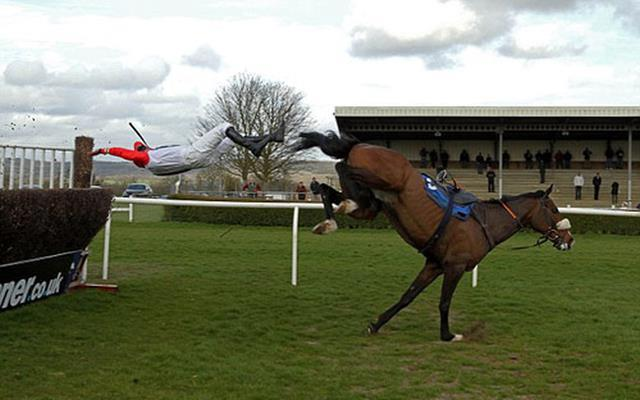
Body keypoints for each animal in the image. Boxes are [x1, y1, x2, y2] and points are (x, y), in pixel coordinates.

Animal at [296, 131, 576, 340]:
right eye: (553, 209)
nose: (570, 239)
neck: (484, 223)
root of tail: (360, 144)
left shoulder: (434, 265)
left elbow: (408, 296)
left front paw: (376, 324)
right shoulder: (455, 266)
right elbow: (444, 302)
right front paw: (448, 335)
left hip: (370, 205)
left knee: (335, 191)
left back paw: (329, 218)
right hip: (383, 180)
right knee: (341, 166)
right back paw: (326, 197)